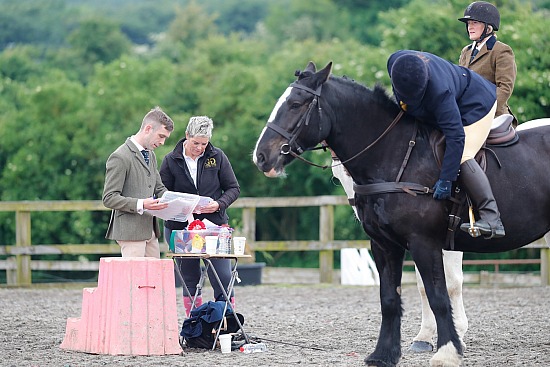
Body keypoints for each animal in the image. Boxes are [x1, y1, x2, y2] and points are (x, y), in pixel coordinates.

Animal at [254, 61, 550, 367]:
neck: (396, 157)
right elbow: (390, 299)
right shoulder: (385, 245)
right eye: (338, 178)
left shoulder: (425, 242)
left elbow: (440, 294)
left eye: (295, 104)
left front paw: (448, 350)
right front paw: (384, 354)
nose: (261, 156)